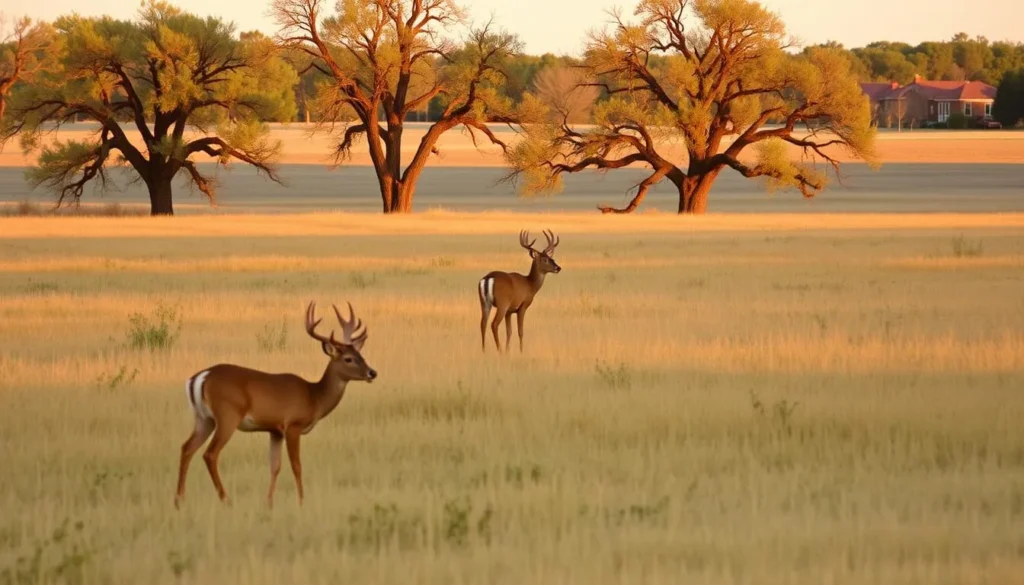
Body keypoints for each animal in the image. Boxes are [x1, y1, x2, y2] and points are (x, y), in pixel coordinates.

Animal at [174, 300, 377, 509]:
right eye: (348, 359)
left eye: (361, 355)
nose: (372, 372)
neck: (314, 398)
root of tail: (201, 377)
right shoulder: (292, 426)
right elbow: (296, 465)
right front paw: (301, 501)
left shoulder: (275, 430)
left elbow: (275, 466)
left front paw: (269, 503)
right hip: (227, 415)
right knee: (210, 454)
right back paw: (226, 499)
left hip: (204, 418)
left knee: (187, 448)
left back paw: (179, 500)